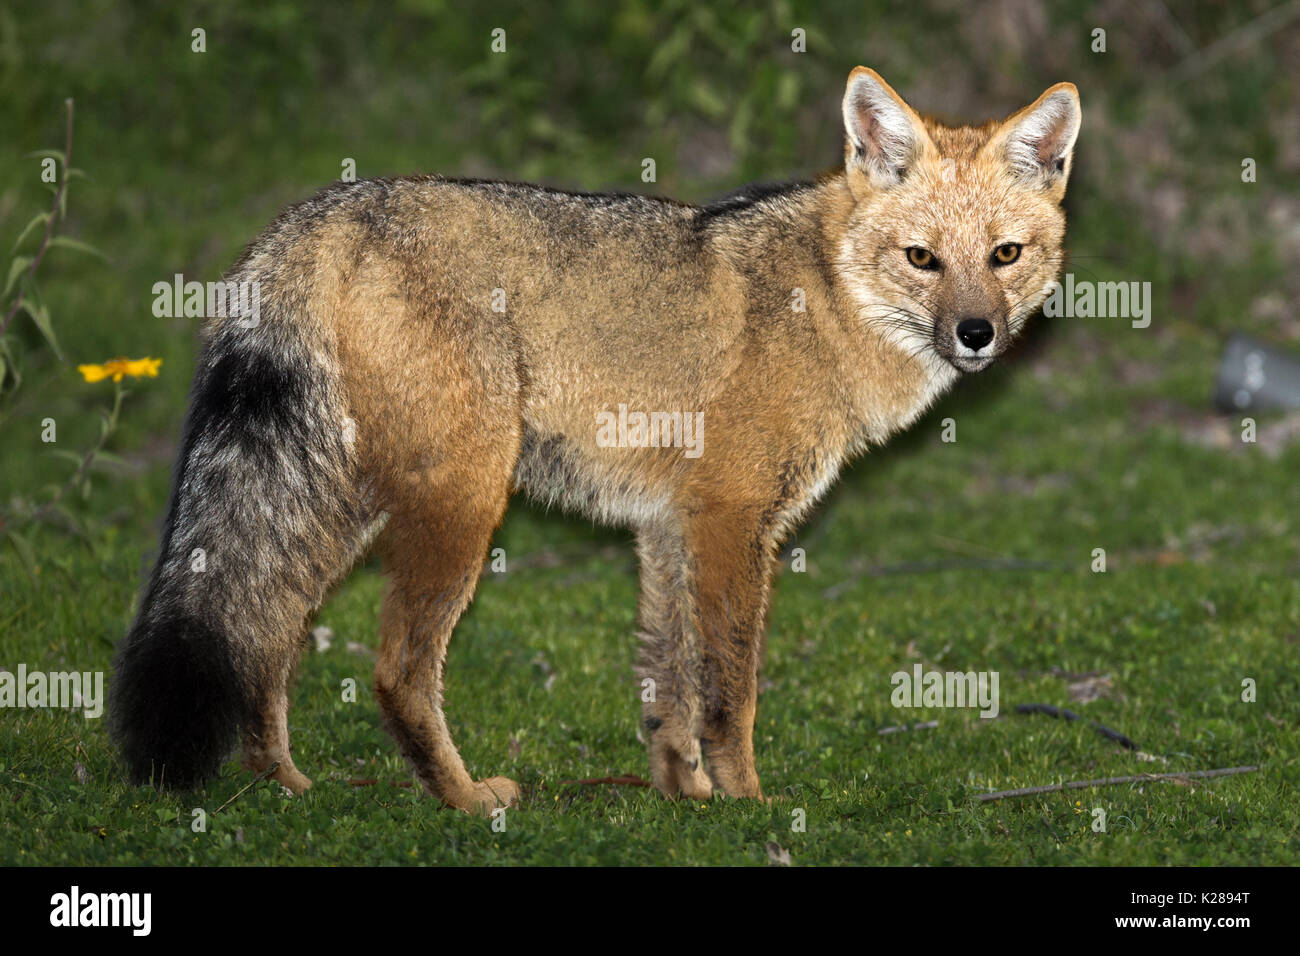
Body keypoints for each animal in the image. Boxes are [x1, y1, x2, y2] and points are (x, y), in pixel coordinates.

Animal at [106, 69, 1081, 816]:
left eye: (1004, 256)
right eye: (922, 259)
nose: (976, 336)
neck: (827, 298)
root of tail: (320, 211)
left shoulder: (668, 528)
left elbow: (668, 684)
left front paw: (685, 798)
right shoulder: (731, 526)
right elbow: (730, 690)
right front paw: (750, 805)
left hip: (345, 509)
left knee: (261, 635)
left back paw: (283, 784)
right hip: (461, 508)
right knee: (394, 671)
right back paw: (463, 801)